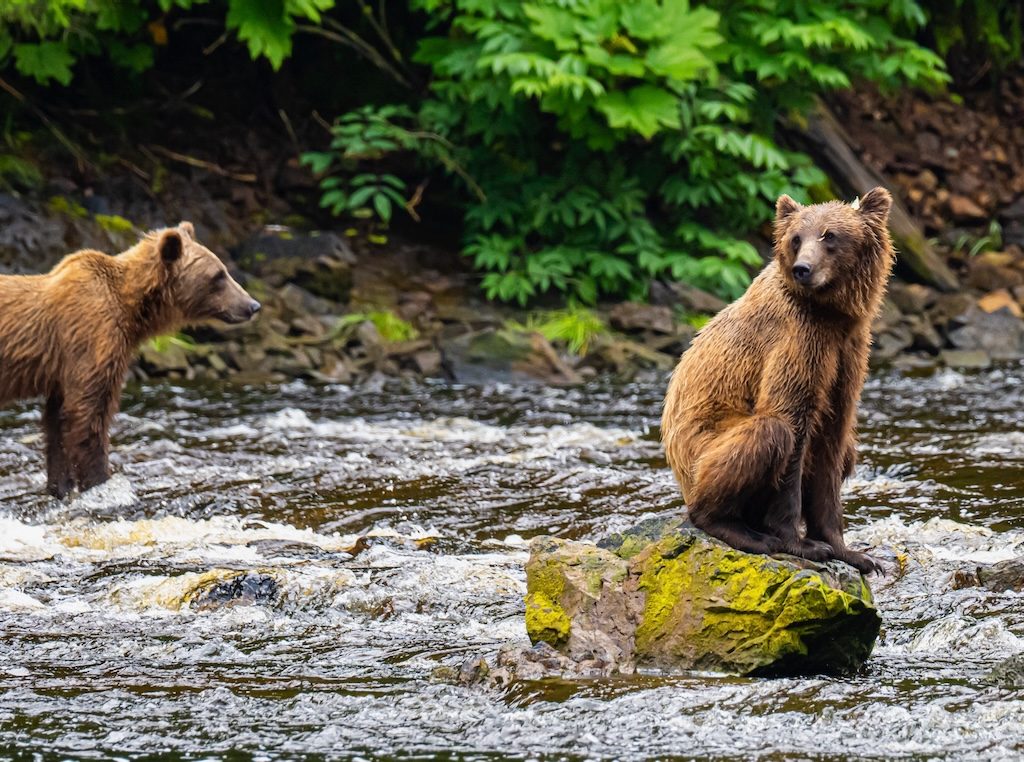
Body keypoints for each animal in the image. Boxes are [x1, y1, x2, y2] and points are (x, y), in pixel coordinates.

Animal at [0, 222, 261, 498]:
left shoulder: (64, 370)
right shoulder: (93, 340)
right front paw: (101, 482)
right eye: (218, 275)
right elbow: (87, 414)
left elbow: (57, 421)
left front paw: (61, 487)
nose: (253, 305)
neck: (133, 309)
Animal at [661, 188, 895, 574]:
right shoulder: (798, 340)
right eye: (796, 238)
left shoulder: (848, 354)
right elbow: (790, 420)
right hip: (700, 451)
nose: (803, 269)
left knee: (849, 450)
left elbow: (833, 444)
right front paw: (801, 543)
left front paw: (853, 552)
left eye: (830, 235)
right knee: (764, 435)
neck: (832, 314)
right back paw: (741, 531)